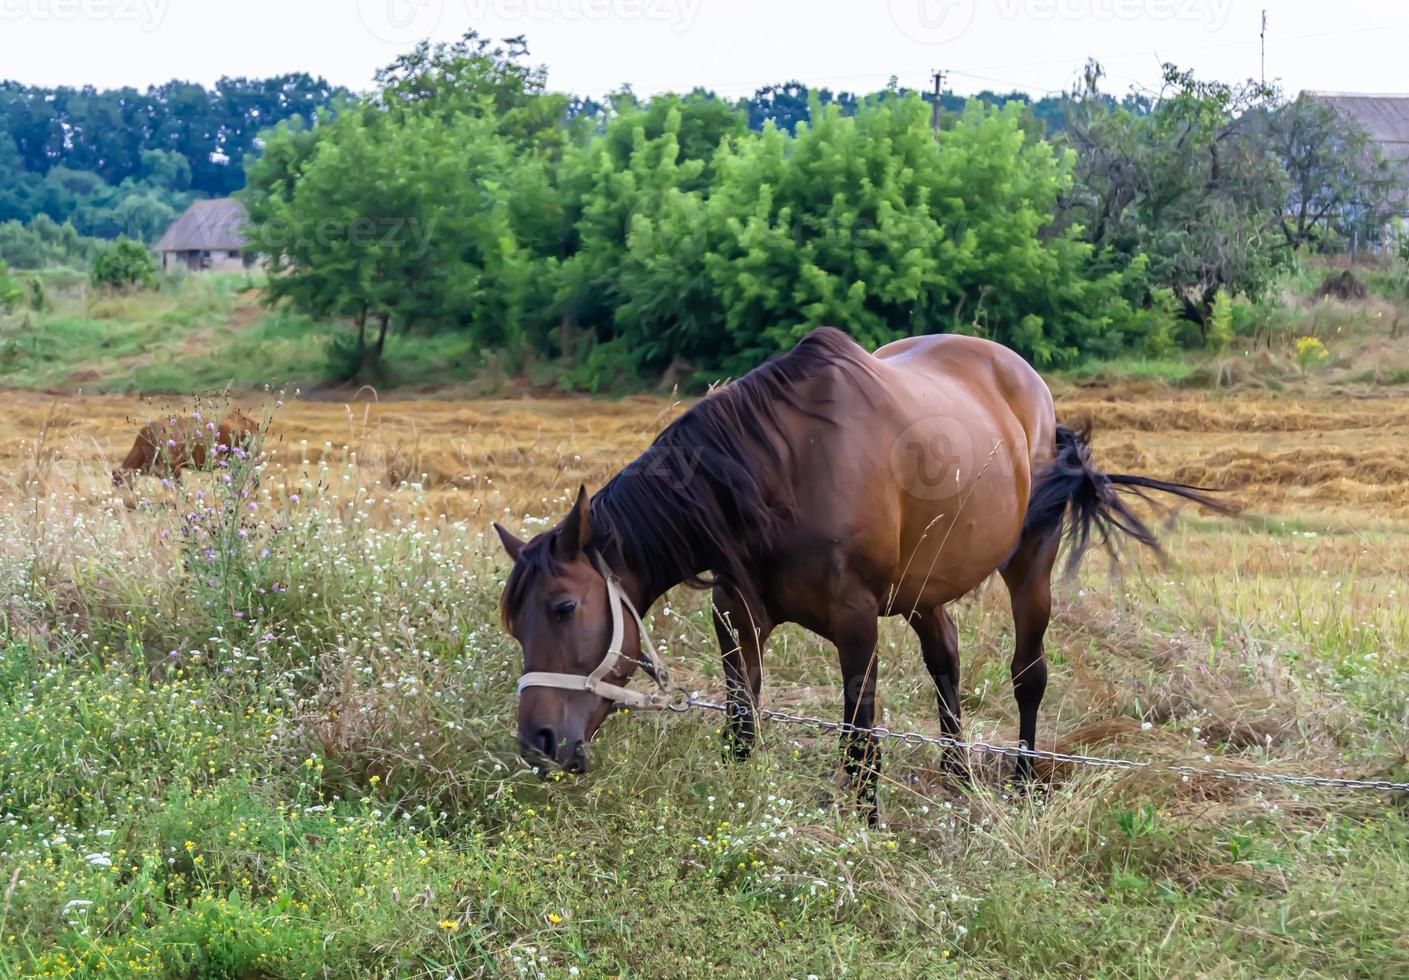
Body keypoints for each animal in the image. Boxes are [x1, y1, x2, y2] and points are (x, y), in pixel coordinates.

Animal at [493, 330, 1223, 816]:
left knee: (1028, 674)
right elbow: (741, 725)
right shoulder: (736, 614)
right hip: (924, 588)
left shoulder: (855, 621)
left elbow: (858, 734)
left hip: (1028, 566)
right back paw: (956, 774)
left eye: (563, 608)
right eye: (514, 626)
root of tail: (1029, 386)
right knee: (945, 659)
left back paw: (1019, 780)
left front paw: (864, 821)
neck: (775, 475)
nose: (537, 742)